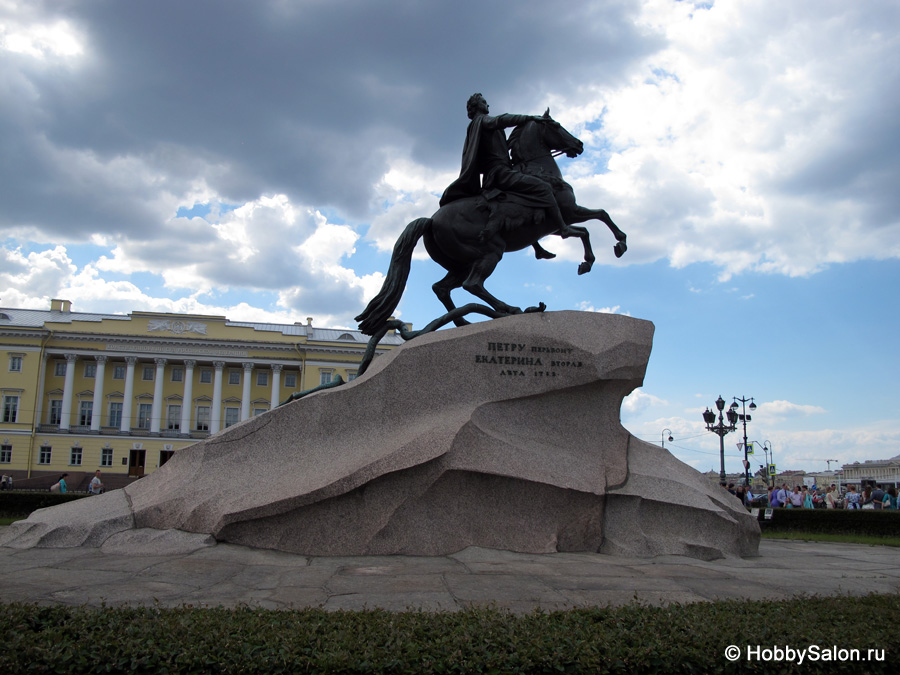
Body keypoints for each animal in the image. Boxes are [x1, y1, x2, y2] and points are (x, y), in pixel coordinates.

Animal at [356, 111, 628, 338]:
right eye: (557, 125)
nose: (579, 145)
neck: (540, 171)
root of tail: (431, 220)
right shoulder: (568, 213)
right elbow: (590, 225)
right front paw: (602, 254)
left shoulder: (562, 219)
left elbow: (598, 218)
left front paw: (606, 249)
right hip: (490, 252)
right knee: (473, 284)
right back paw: (509, 308)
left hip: (460, 263)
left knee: (442, 288)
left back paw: (463, 322)